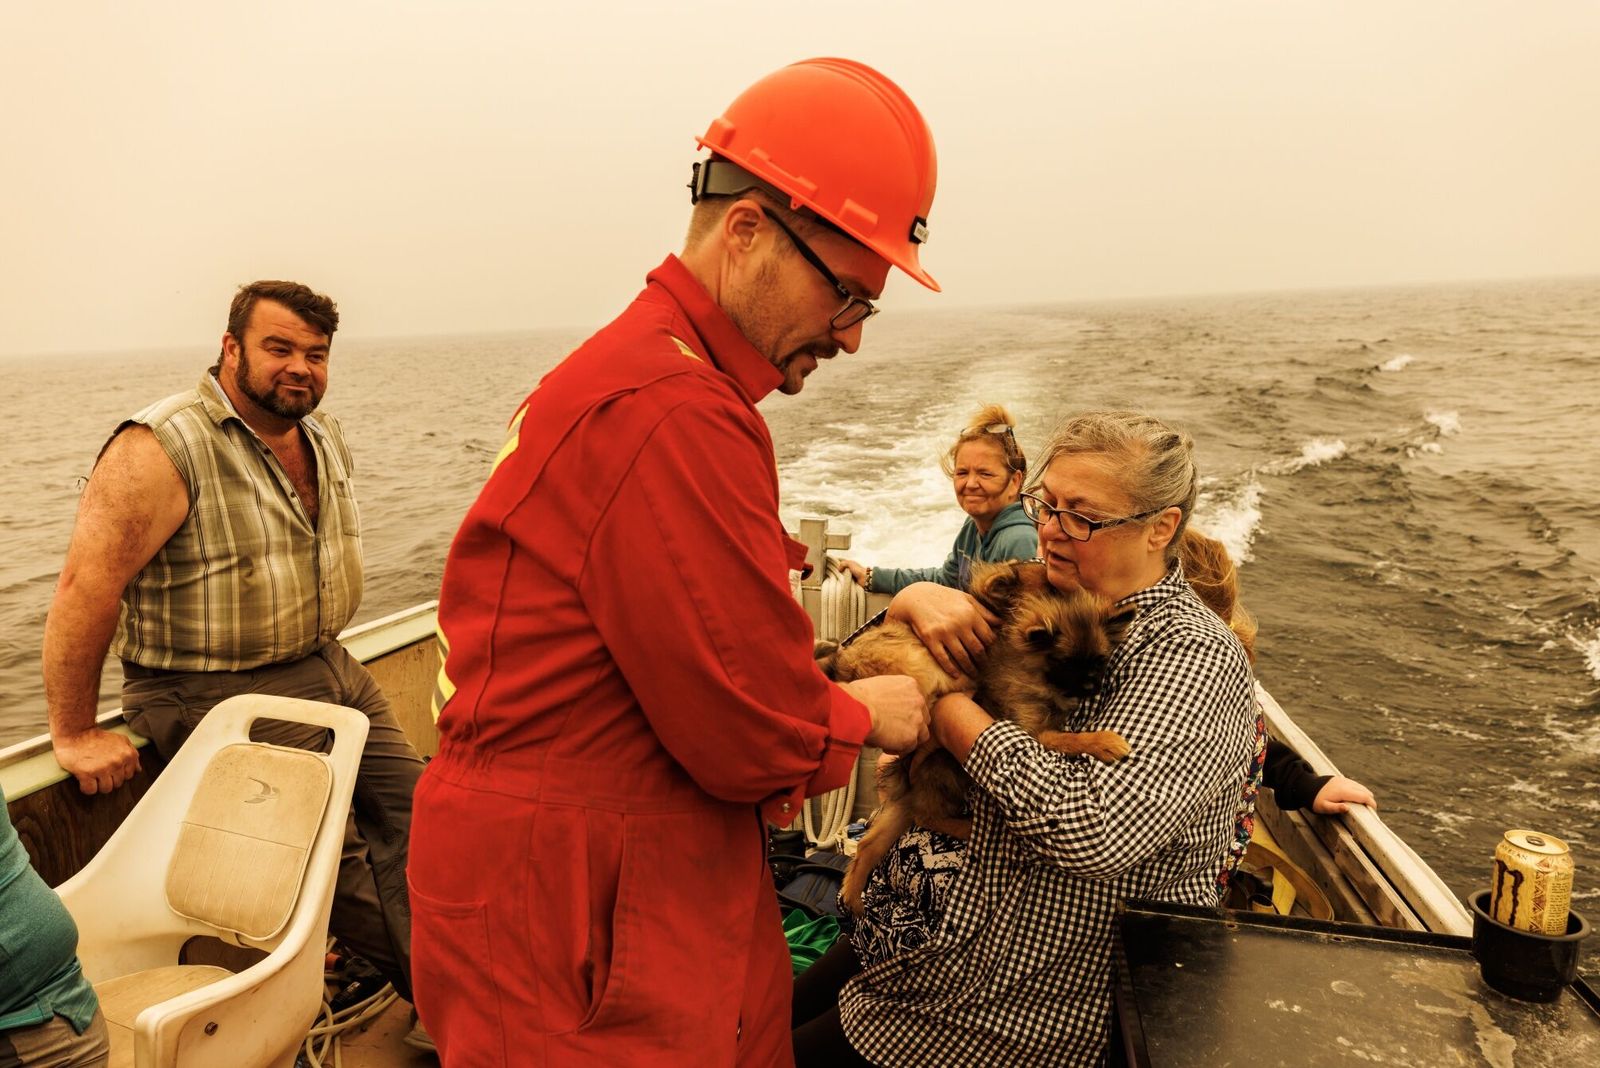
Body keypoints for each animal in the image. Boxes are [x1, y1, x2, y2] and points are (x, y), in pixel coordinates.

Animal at [812, 559, 1139, 908]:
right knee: (926, 814)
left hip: (906, 804)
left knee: (871, 844)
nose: (1091, 686)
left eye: (1100, 661)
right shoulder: (1033, 730)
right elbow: (1069, 738)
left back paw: (853, 896)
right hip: (926, 701)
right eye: (1051, 588)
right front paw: (1105, 741)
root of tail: (844, 664)